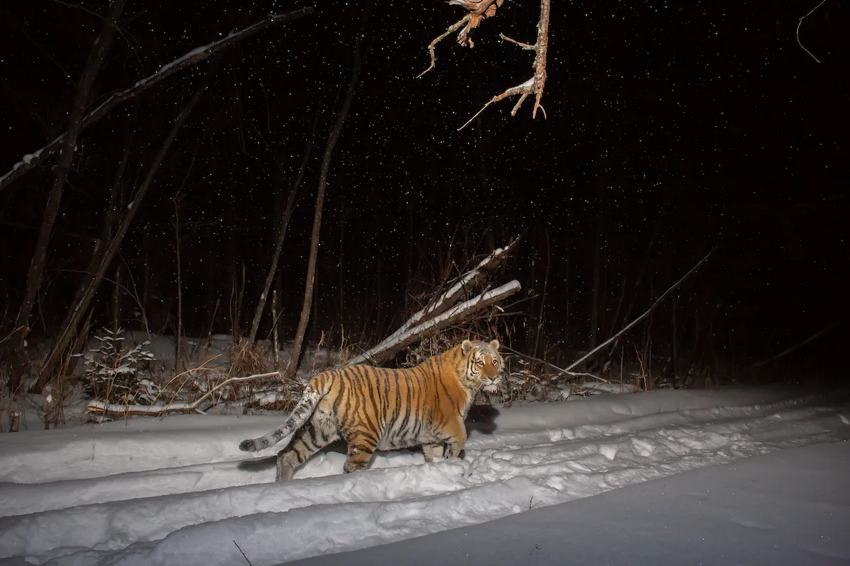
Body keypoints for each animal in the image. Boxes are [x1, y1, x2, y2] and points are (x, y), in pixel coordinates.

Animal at [237, 340, 504, 482]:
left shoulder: (431, 437)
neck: (468, 383)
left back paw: (282, 485)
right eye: (480, 362)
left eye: (495, 361)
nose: (494, 377)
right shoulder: (449, 423)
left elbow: (434, 454)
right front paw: (452, 463)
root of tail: (327, 374)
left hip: (317, 429)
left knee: (286, 455)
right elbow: (461, 438)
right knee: (351, 467)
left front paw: (440, 468)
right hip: (366, 434)